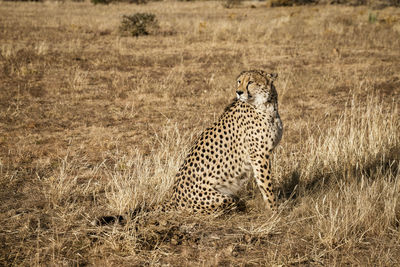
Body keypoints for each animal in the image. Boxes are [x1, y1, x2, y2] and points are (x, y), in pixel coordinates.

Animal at [94, 70, 282, 225]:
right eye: (239, 81)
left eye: (250, 82)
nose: (239, 92)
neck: (266, 105)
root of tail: (173, 197)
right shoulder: (259, 156)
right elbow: (267, 185)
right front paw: (275, 212)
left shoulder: (262, 155)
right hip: (219, 198)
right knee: (220, 206)